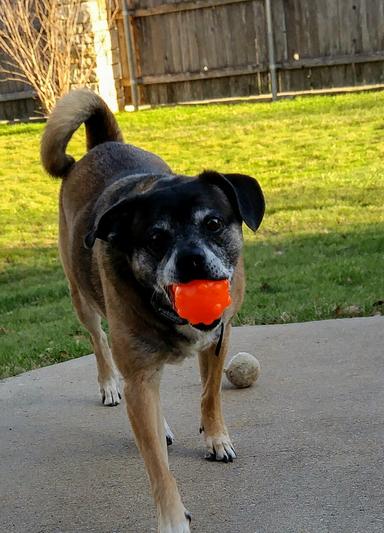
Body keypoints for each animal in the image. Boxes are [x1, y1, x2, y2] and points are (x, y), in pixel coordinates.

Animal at [40, 89, 266, 528]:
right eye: (156, 238)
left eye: (213, 223)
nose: (191, 260)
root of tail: (102, 146)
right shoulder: (140, 372)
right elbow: (159, 468)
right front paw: (173, 520)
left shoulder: (220, 336)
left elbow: (210, 393)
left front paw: (216, 438)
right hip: (82, 298)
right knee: (100, 342)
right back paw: (111, 385)